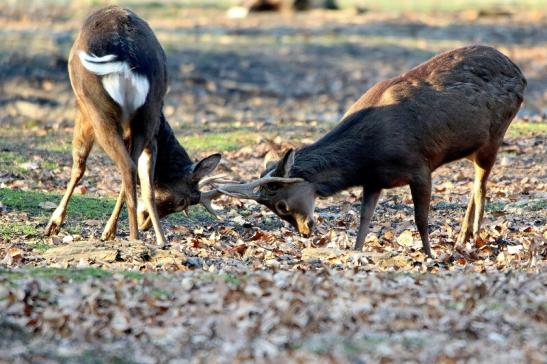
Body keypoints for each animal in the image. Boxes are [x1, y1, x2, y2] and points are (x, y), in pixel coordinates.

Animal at [44, 5, 222, 246]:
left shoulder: (83, 112)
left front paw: (54, 223)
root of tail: (127, 59)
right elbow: (147, 186)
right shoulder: (152, 136)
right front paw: (158, 238)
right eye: (181, 203)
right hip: (147, 113)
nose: (146, 225)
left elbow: (78, 167)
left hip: (98, 110)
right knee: (133, 171)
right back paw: (137, 235)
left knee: (126, 167)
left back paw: (132, 236)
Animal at [218, 45, 528, 256]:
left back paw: (472, 237)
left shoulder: (420, 166)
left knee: (481, 186)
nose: (305, 232)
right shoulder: (374, 180)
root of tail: (520, 73)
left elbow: (421, 219)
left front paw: (429, 255)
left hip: (495, 135)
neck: (366, 157)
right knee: (476, 183)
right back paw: (463, 237)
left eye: (281, 204)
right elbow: (364, 218)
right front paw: (356, 252)